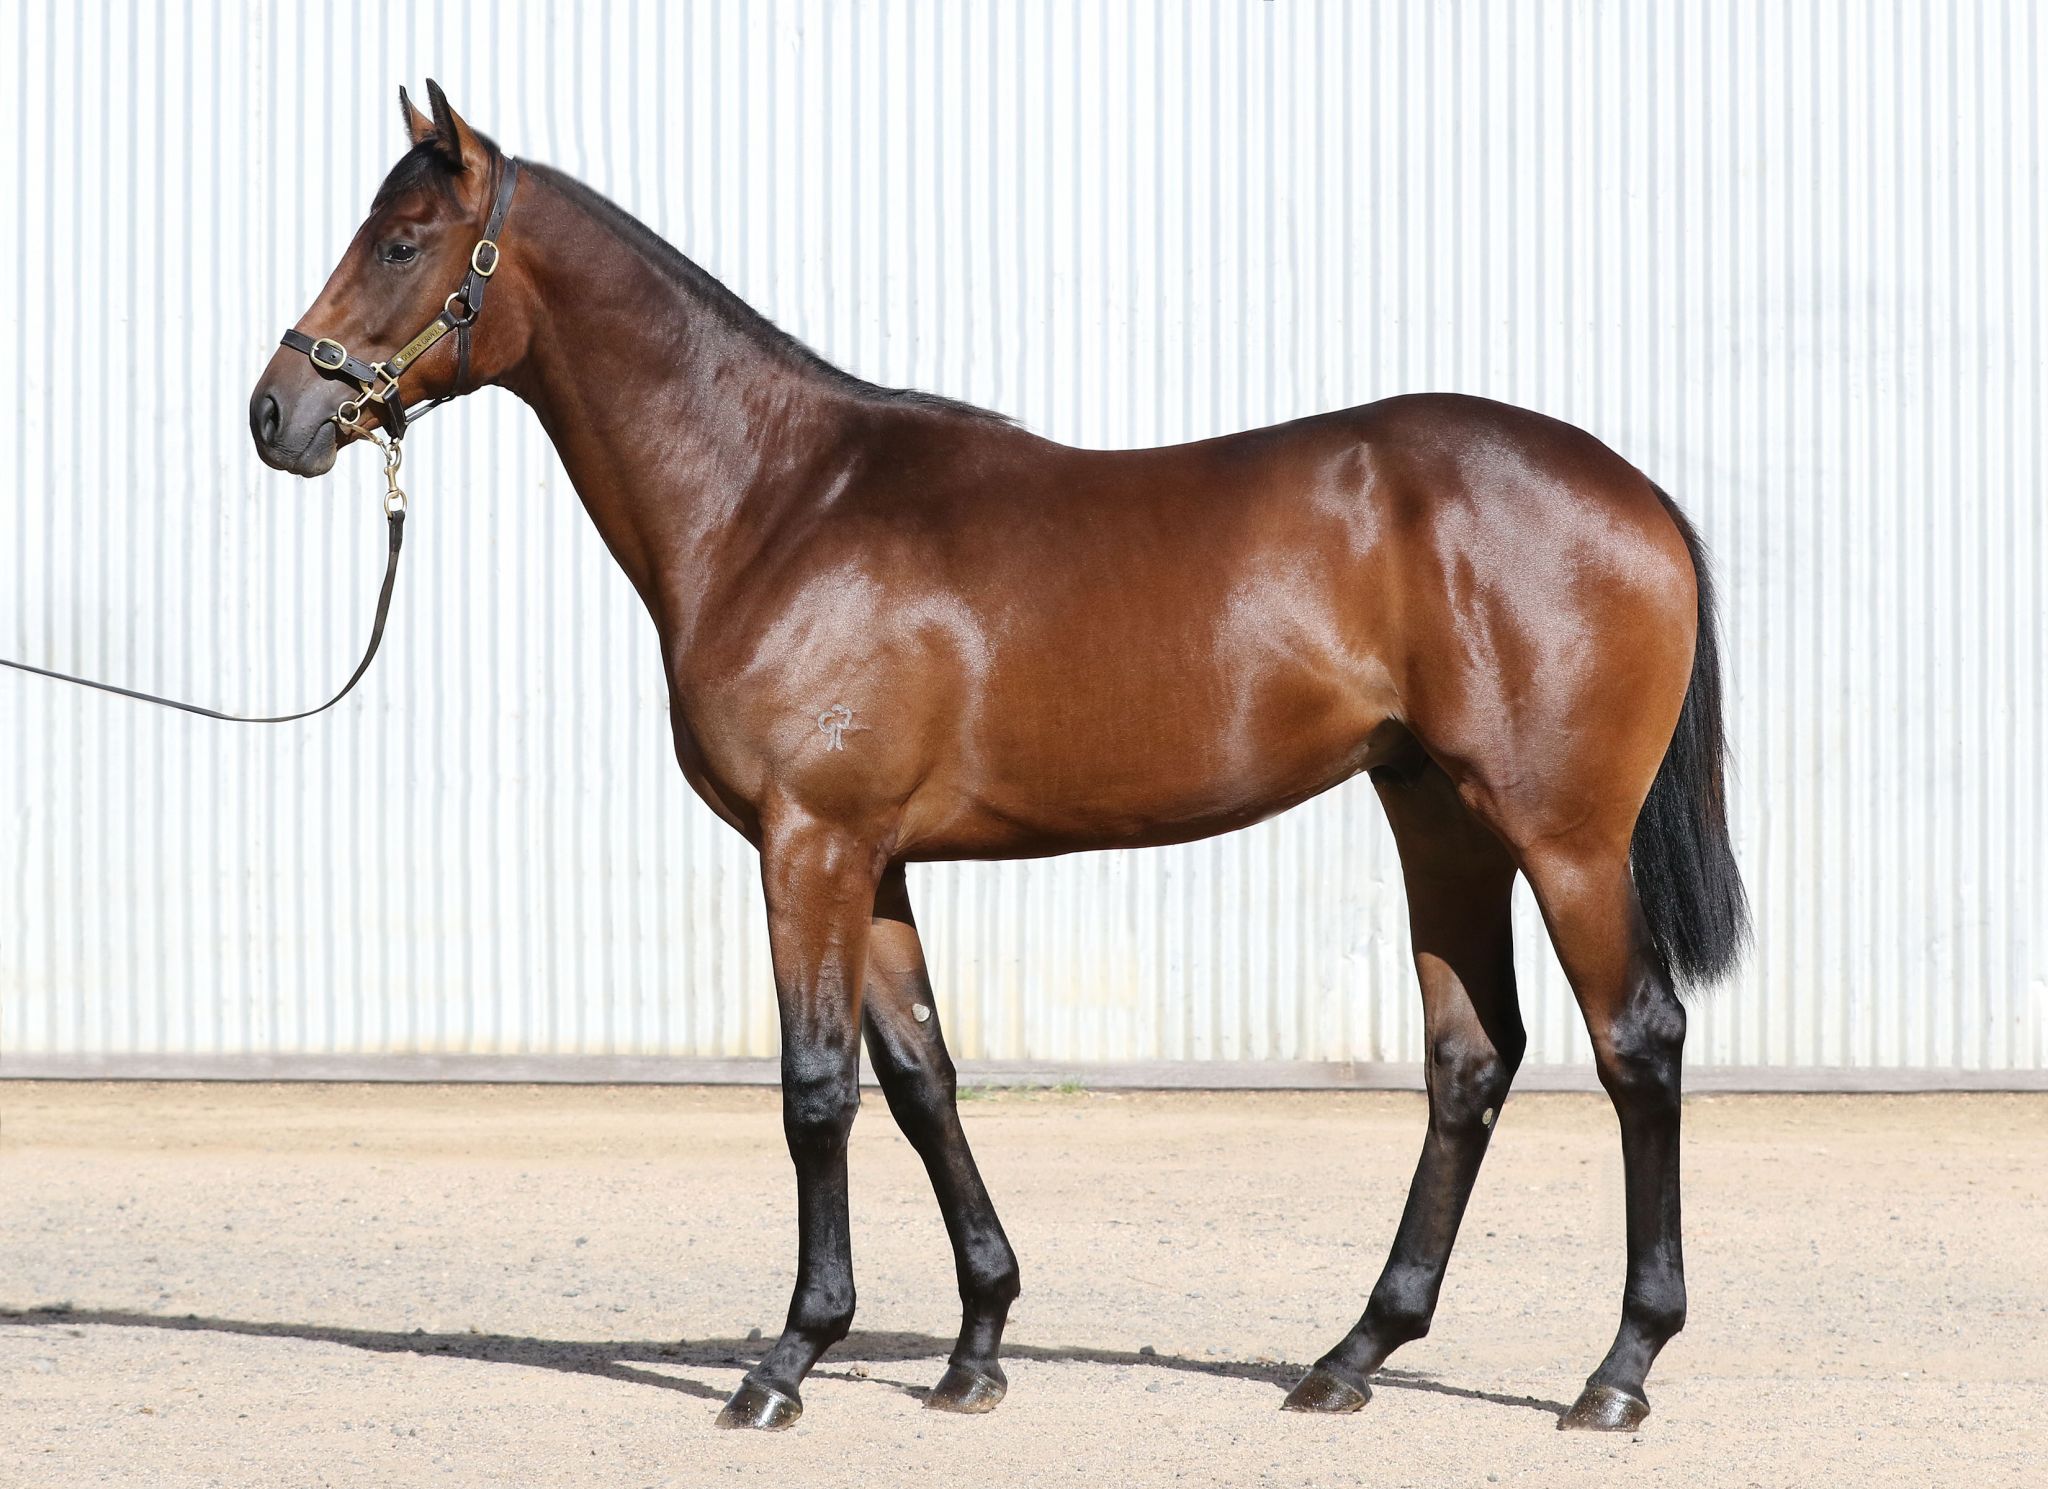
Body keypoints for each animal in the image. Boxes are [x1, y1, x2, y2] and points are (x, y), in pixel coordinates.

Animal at [249, 83, 1748, 1433]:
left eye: (402, 242)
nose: (275, 414)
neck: (778, 502)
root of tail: (1634, 493)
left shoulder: (809, 845)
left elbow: (815, 1092)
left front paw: (787, 1361)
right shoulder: (877, 861)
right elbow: (923, 1081)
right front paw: (975, 1347)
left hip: (1559, 834)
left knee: (1637, 1043)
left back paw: (1617, 1371)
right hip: (1434, 813)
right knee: (1470, 1058)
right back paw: (1352, 1355)